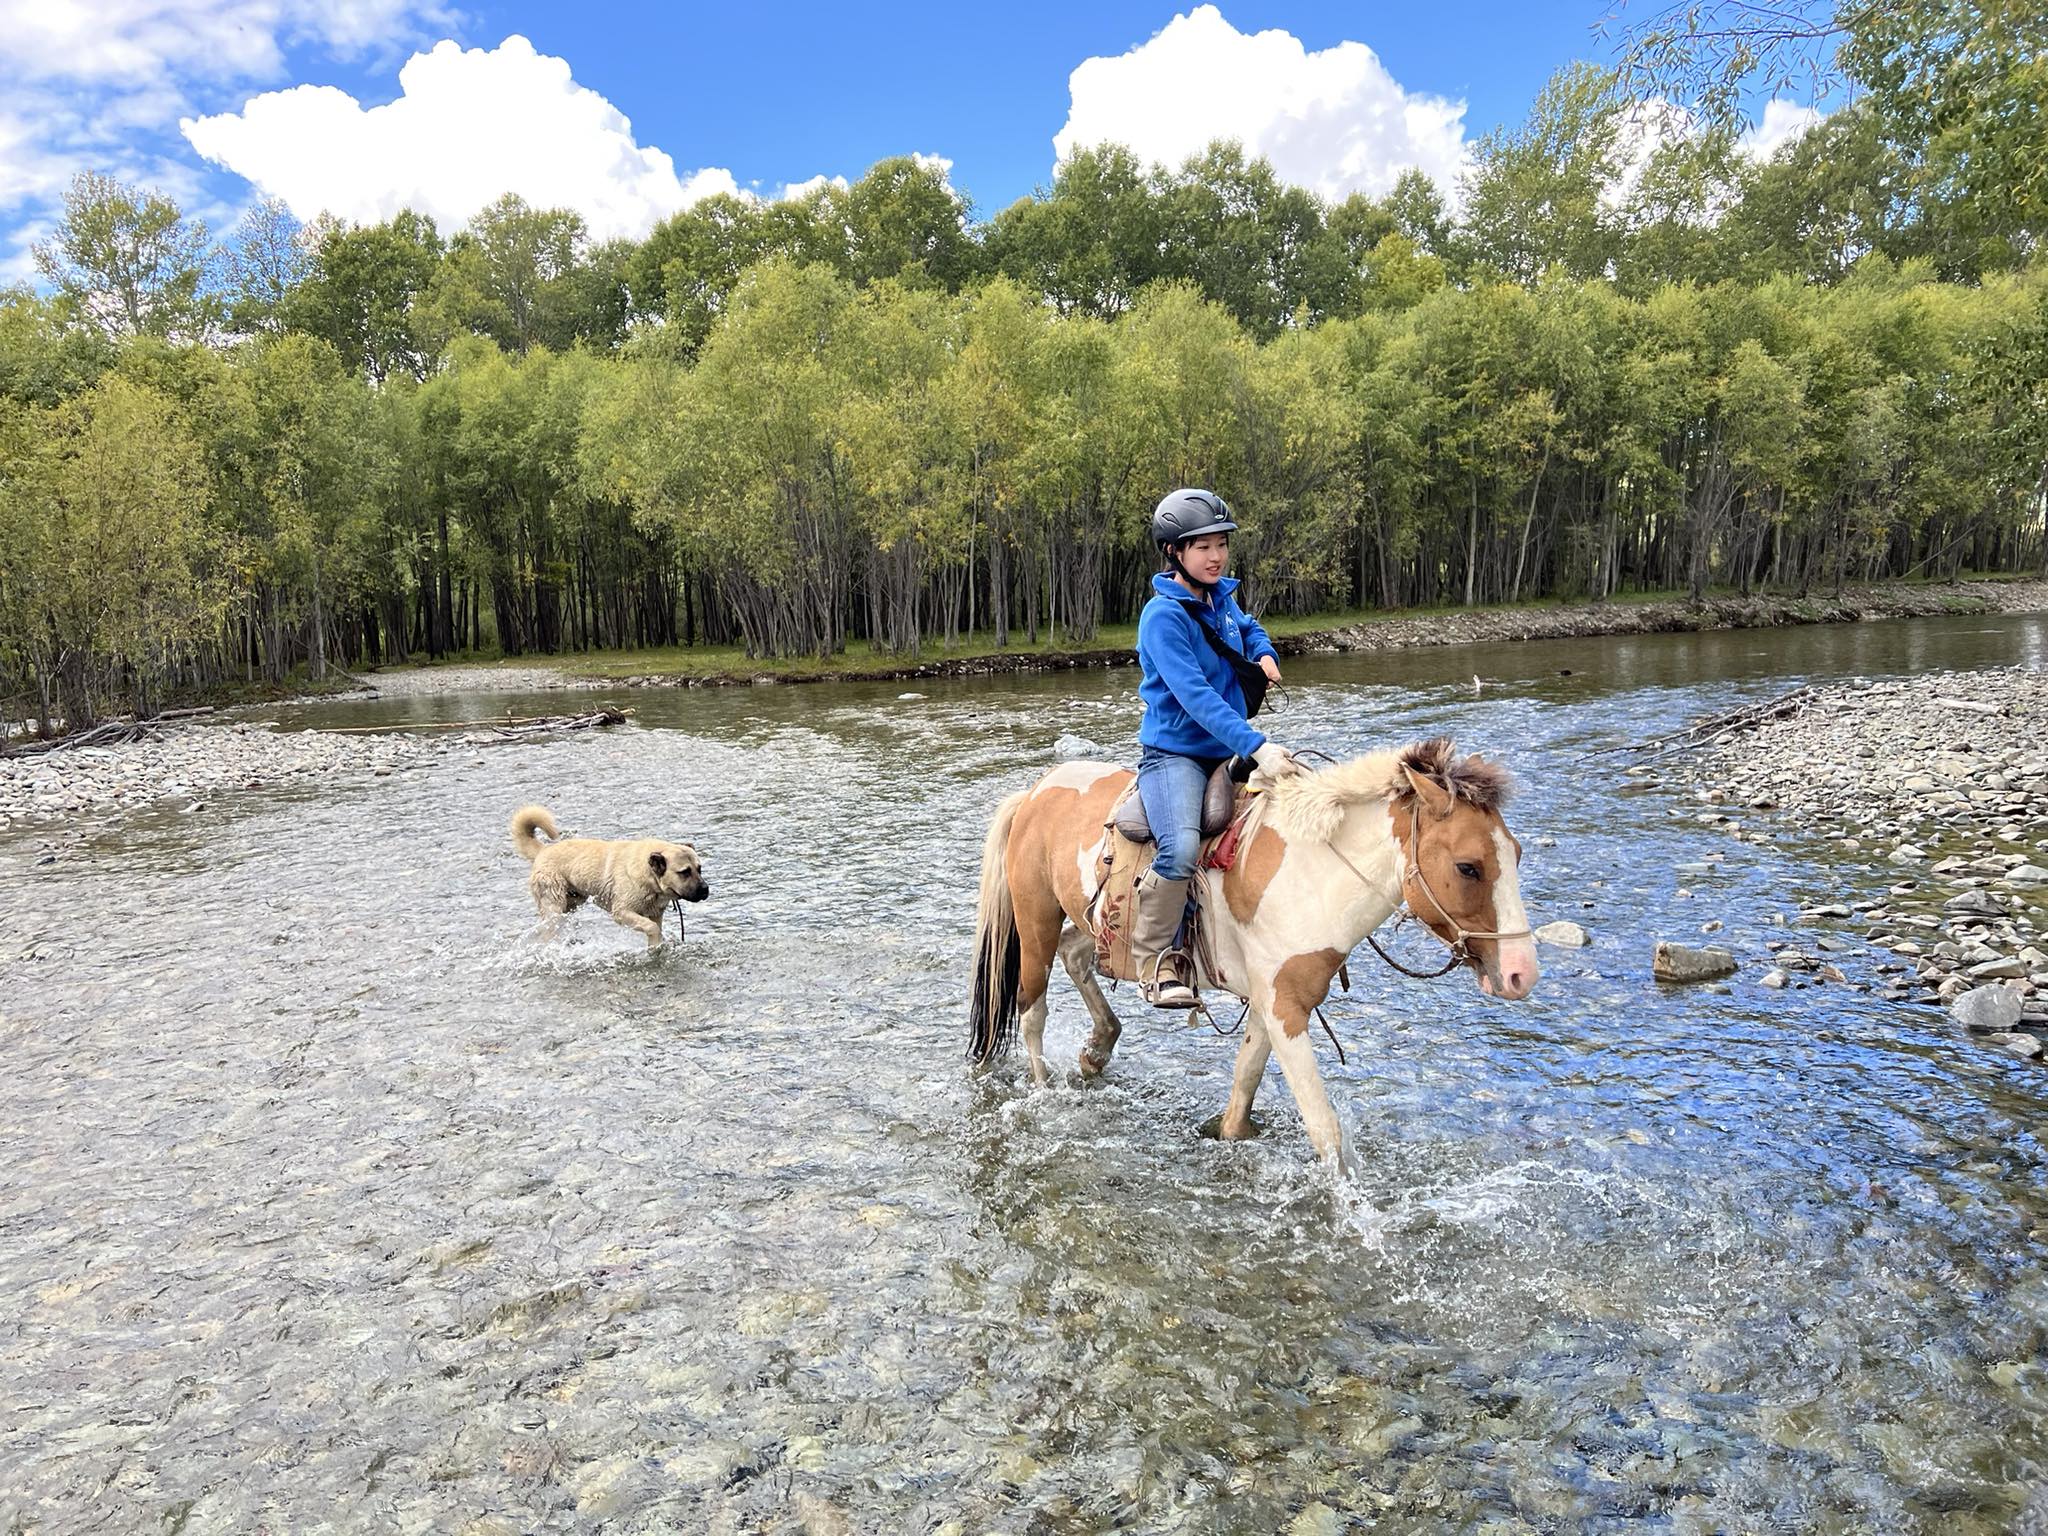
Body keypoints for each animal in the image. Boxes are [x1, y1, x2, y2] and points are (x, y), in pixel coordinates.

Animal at [507, 806, 708, 950]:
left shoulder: (655, 914)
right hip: (554, 905)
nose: (706, 890)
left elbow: (655, 928)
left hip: (572, 902)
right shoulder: (621, 912)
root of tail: (543, 850)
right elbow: (652, 928)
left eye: (700, 869)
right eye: (684, 872)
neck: (649, 876)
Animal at [970, 741, 1540, 1163]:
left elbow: (1244, 1085)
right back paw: (1046, 1091)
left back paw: (1098, 1049)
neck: (1311, 871)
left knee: (1076, 956)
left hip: (1091, 925)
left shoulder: (1274, 1001)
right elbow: (1326, 1131)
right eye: (1468, 867)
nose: (1521, 974)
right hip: (1036, 921)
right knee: (1032, 1010)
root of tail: (1035, 792)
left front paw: (1228, 1133)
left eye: (1514, 854)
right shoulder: (1286, 1008)